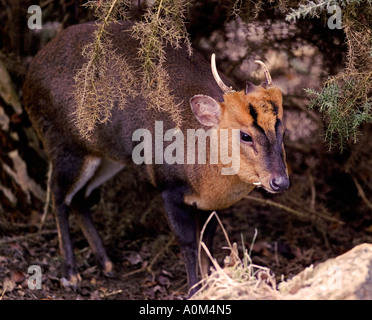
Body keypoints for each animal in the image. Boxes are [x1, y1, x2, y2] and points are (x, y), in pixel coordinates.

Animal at [23, 21, 290, 294]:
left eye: (283, 131)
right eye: (245, 135)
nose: (280, 182)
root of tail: (29, 76)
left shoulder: (211, 204)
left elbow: (206, 242)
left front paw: (209, 286)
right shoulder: (169, 187)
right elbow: (187, 243)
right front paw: (193, 290)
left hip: (107, 157)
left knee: (79, 197)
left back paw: (107, 263)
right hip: (65, 146)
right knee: (58, 196)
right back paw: (71, 273)